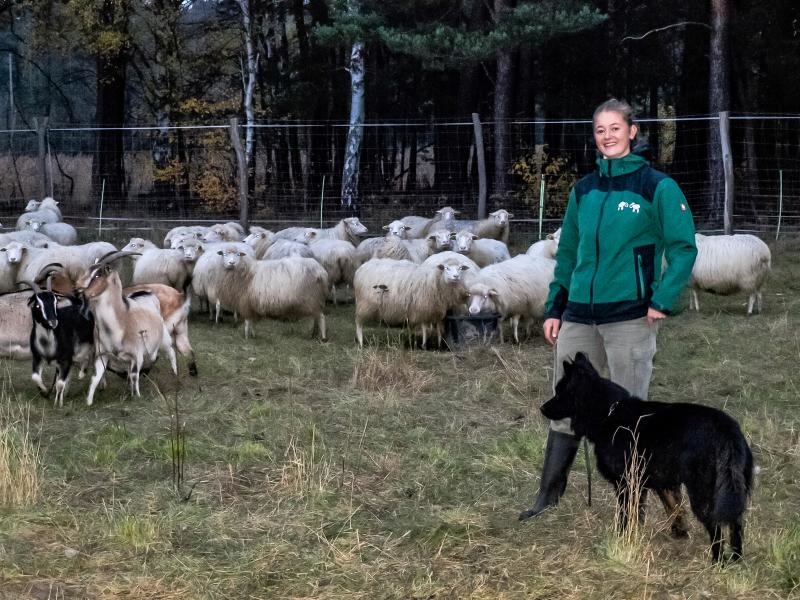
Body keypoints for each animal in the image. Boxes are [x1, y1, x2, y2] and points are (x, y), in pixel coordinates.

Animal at [74, 251, 178, 406]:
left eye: (98, 275)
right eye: (88, 269)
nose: (77, 289)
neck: (121, 322)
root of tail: (147, 294)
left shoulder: (137, 354)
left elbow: (135, 375)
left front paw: (137, 397)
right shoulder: (101, 355)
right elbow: (95, 378)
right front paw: (89, 402)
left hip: (164, 339)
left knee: (171, 352)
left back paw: (175, 376)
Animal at [540, 352, 752, 564]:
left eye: (560, 393)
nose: (542, 408)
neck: (609, 413)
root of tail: (727, 431)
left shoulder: (626, 484)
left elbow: (626, 516)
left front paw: (621, 540)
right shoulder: (657, 482)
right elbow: (671, 507)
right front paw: (677, 532)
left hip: (703, 492)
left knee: (716, 527)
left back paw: (718, 561)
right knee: (736, 523)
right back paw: (736, 558)